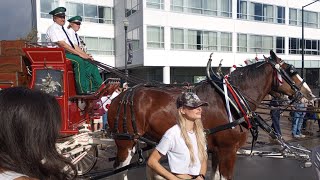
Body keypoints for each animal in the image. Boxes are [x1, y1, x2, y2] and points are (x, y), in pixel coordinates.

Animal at [107, 51, 316, 179]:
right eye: (292, 70)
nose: (311, 96)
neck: (231, 99)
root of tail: (121, 96)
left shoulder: (216, 151)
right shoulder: (228, 150)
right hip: (125, 142)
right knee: (120, 171)